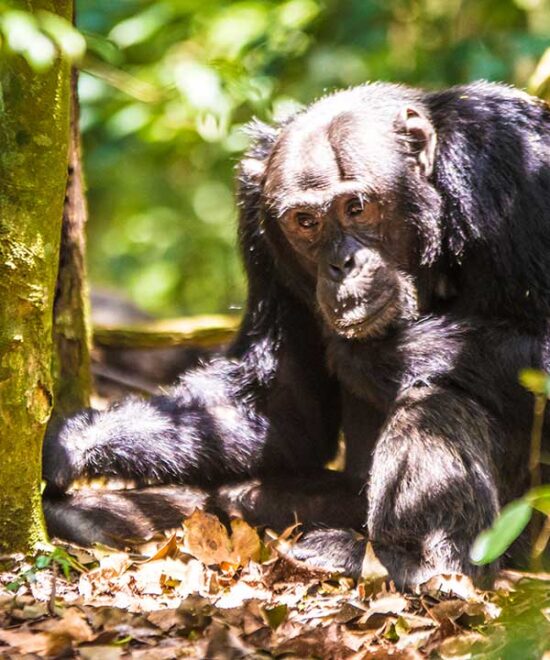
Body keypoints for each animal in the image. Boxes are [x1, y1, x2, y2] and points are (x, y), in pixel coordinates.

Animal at [44, 82, 550, 588]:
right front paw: (73, 441)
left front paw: (382, 354)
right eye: (306, 222)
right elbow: (285, 406)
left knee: (435, 401)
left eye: (356, 208)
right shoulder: (259, 228)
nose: (341, 263)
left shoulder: (511, 168)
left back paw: (413, 562)